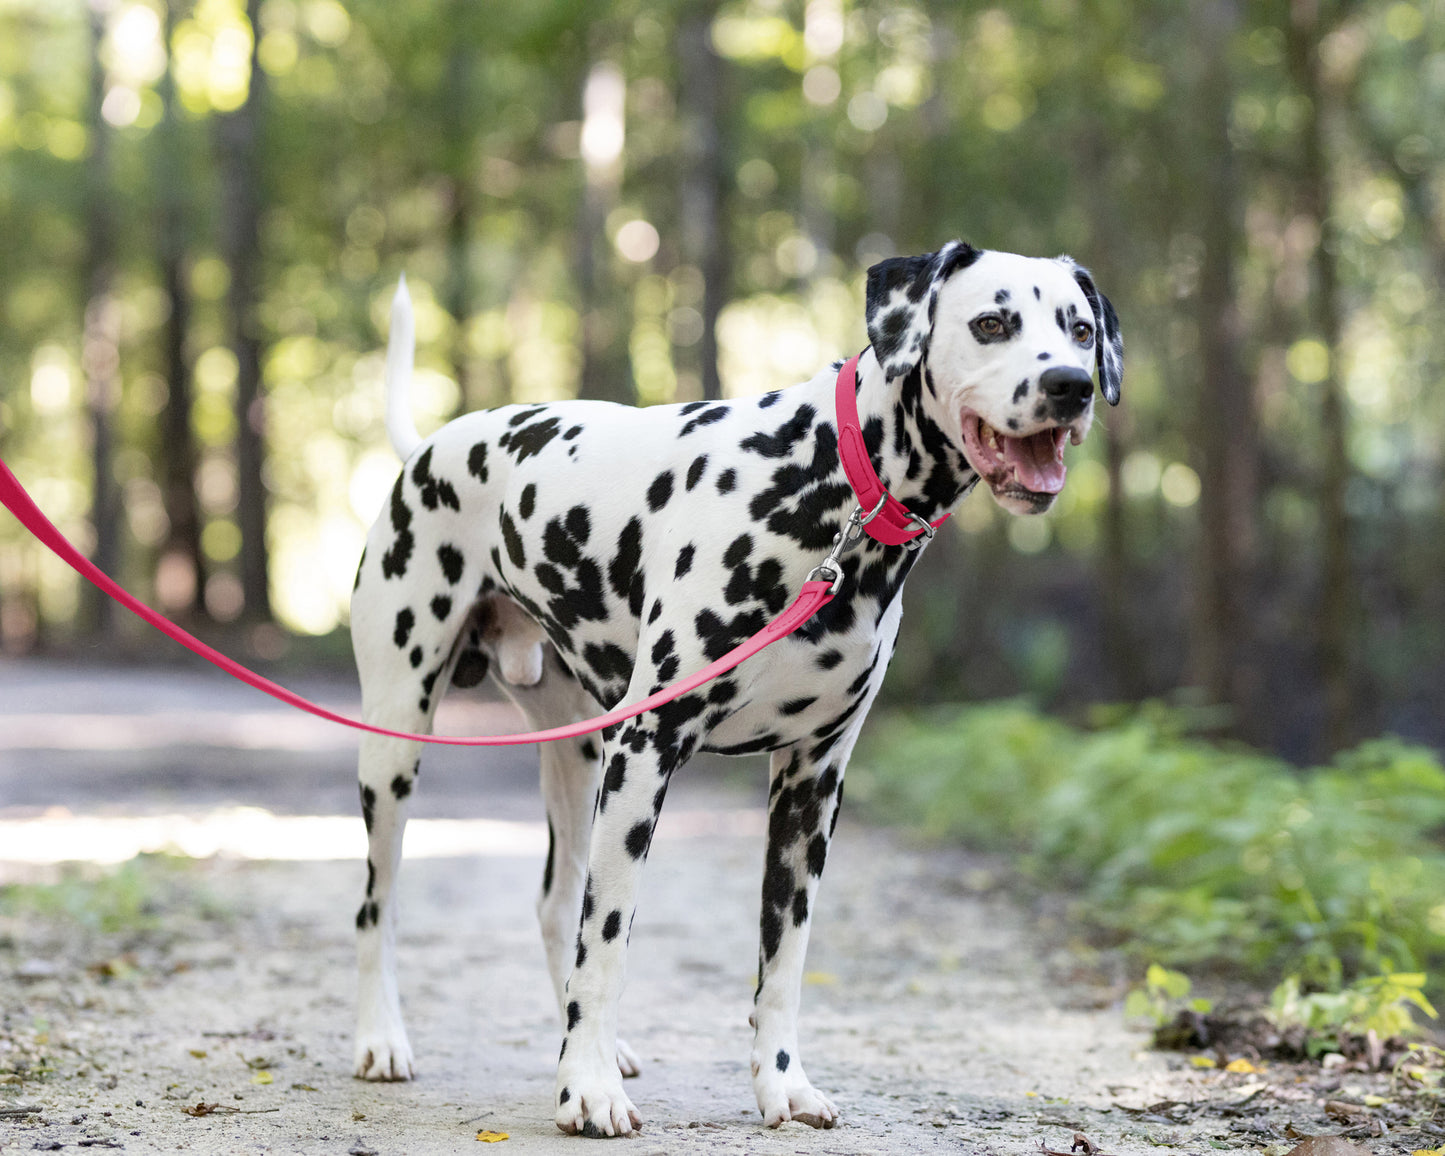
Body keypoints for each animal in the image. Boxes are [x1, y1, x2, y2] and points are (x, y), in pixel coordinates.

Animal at [346, 239, 1115, 1132]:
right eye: (991, 322)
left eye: (1079, 329)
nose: (1070, 385)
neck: (830, 487)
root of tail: (430, 447)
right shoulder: (646, 754)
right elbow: (609, 939)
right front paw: (587, 1091)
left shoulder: (810, 786)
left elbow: (782, 961)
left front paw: (780, 1084)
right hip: (397, 748)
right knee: (379, 905)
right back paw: (383, 1040)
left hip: (576, 758)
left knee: (554, 904)